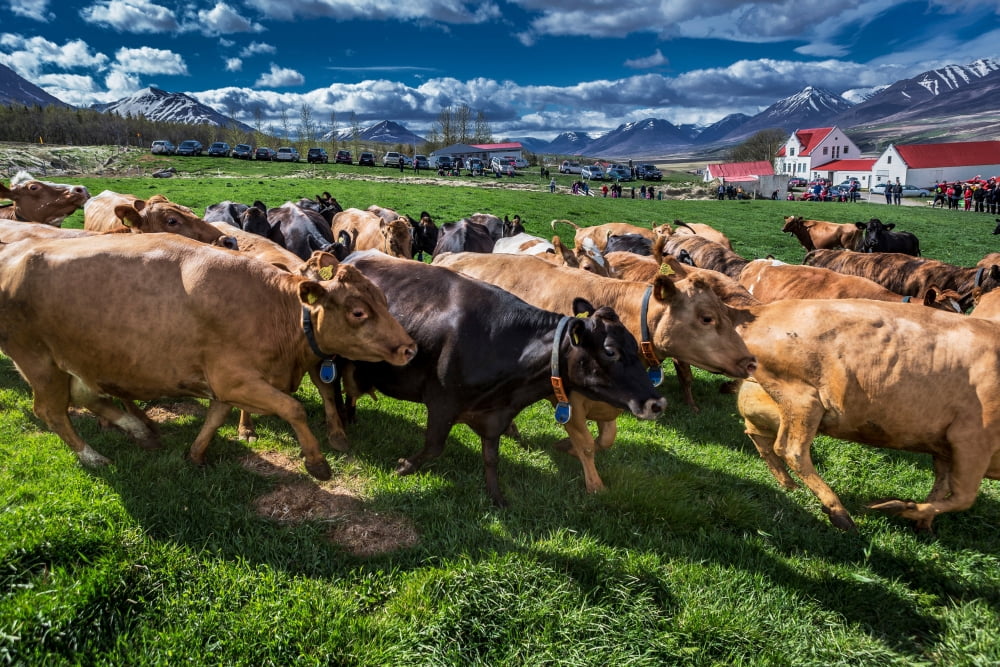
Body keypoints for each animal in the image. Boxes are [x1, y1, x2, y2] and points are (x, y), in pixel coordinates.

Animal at [0, 234, 416, 479]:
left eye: (383, 298)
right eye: (358, 312)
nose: (409, 347)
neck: (274, 310)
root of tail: (15, 256)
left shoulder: (228, 383)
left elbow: (217, 416)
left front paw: (196, 454)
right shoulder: (236, 377)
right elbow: (293, 408)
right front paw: (316, 462)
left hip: (77, 361)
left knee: (85, 395)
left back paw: (139, 429)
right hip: (39, 361)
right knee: (52, 411)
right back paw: (94, 456)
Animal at [341, 250, 666, 505]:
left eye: (635, 345)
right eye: (610, 351)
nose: (657, 403)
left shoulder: (495, 414)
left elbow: (491, 458)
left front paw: (496, 498)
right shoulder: (442, 402)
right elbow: (433, 447)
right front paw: (404, 466)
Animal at [432, 251, 756, 492]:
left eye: (727, 314)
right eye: (706, 318)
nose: (750, 361)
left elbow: (605, 438)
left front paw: (566, 447)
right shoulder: (567, 399)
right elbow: (587, 444)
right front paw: (594, 484)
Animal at [735, 299, 1000, 532]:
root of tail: (762, 310)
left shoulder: (944, 447)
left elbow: (941, 487)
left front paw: (923, 524)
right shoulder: (972, 438)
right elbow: (964, 497)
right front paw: (895, 507)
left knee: (759, 435)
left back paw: (789, 484)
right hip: (802, 397)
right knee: (791, 449)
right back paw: (839, 512)